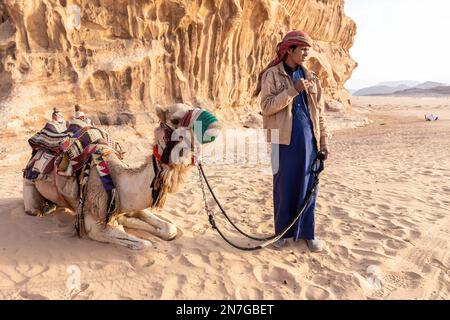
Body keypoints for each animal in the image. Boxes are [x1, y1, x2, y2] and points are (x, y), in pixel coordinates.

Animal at [23, 104, 220, 251]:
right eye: (175, 120)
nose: (214, 123)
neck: (116, 180)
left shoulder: (127, 204)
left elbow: (169, 229)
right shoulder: (94, 225)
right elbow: (144, 244)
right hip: (29, 185)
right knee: (32, 207)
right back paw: (45, 208)